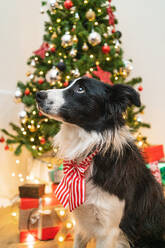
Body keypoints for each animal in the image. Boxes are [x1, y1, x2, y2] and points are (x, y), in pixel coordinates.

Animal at [36, 76, 165, 247]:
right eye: (68, 84)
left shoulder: (109, 230)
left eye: (80, 89)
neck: (89, 152)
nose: (38, 95)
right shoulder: (82, 224)